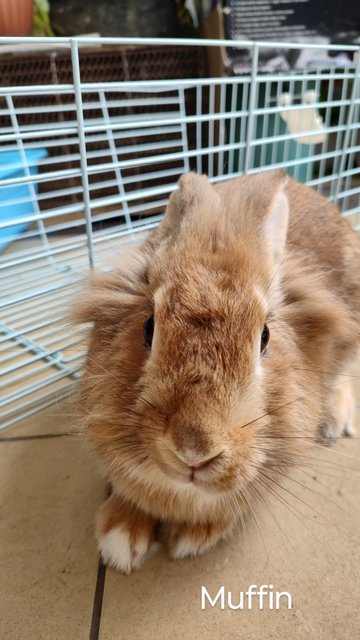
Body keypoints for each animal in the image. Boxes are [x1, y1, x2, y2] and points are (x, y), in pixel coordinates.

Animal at [75, 171, 360, 576]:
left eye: (264, 337)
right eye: (148, 326)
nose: (194, 451)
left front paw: (193, 536)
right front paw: (120, 538)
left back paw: (334, 422)